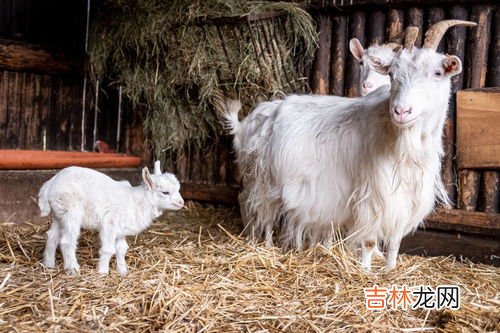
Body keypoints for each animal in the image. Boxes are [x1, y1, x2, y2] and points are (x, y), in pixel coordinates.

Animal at [39, 161, 184, 274]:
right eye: (165, 192)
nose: (181, 202)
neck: (135, 201)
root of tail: (50, 184)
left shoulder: (120, 230)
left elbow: (121, 249)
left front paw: (123, 271)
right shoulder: (109, 224)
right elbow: (108, 249)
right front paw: (102, 272)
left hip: (58, 214)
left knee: (52, 236)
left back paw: (49, 265)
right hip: (71, 211)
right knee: (67, 241)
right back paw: (73, 269)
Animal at [225, 20, 474, 270]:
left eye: (437, 72)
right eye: (392, 73)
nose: (401, 111)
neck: (399, 142)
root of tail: (247, 121)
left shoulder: (406, 198)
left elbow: (395, 241)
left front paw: (390, 268)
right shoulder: (373, 195)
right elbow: (370, 240)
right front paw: (365, 270)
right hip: (261, 180)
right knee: (256, 208)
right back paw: (261, 244)